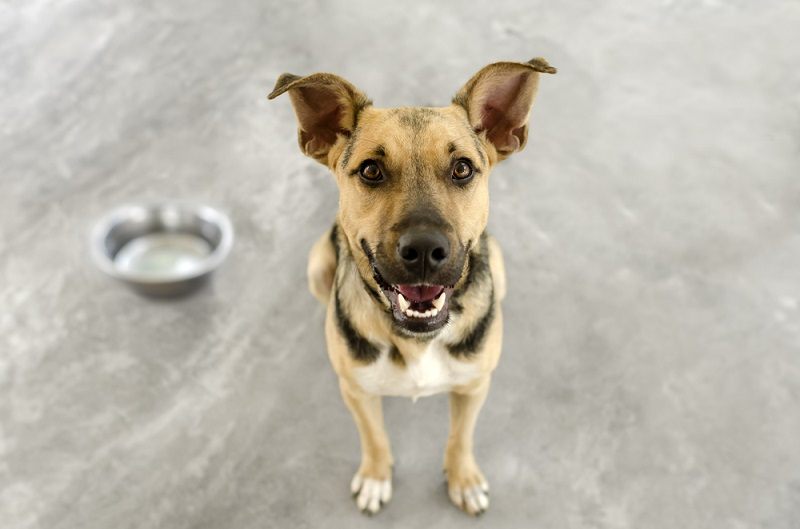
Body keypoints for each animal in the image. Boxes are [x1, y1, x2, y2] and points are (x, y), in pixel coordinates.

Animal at [268, 58, 556, 516]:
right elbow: (374, 436)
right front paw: (375, 476)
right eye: (371, 170)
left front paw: (463, 479)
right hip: (316, 265)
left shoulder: (475, 385)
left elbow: (461, 436)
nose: (424, 250)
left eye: (462, 168)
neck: (417, 339)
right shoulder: (357, 393)